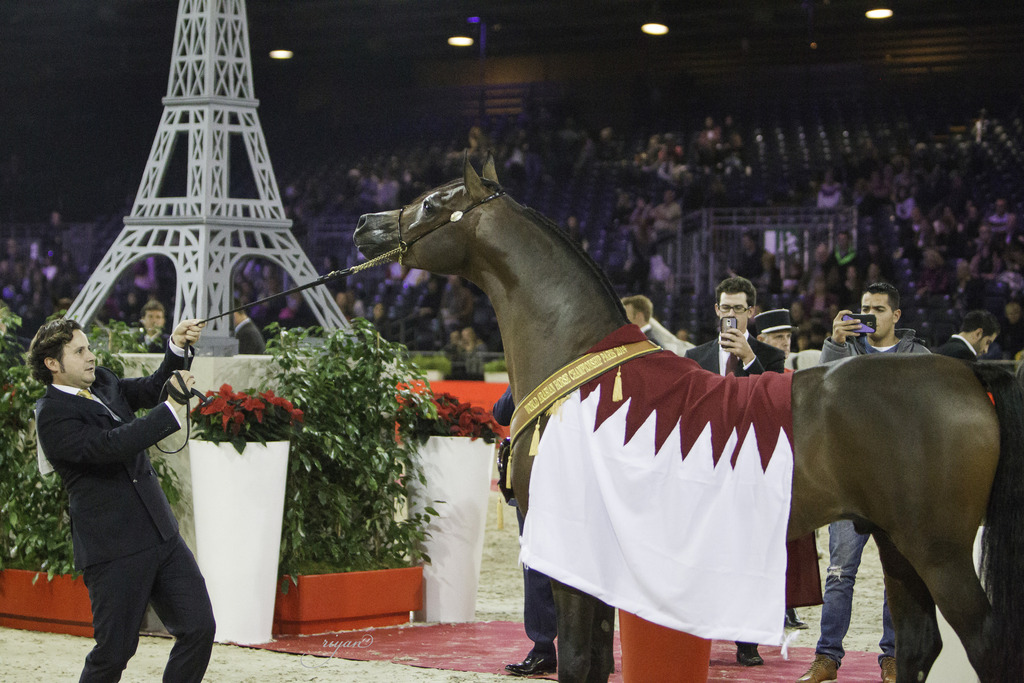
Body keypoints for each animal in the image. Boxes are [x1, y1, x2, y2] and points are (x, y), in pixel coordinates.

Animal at [354, 156, 1024, 683]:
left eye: (433, 201)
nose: (365, 224)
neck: (577, 362)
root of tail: (965, 373)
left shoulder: (571, 553)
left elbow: (577, 660)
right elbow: (597, 661)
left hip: (938, 552)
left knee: (986, 645)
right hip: (895, 544)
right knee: (916, 646)